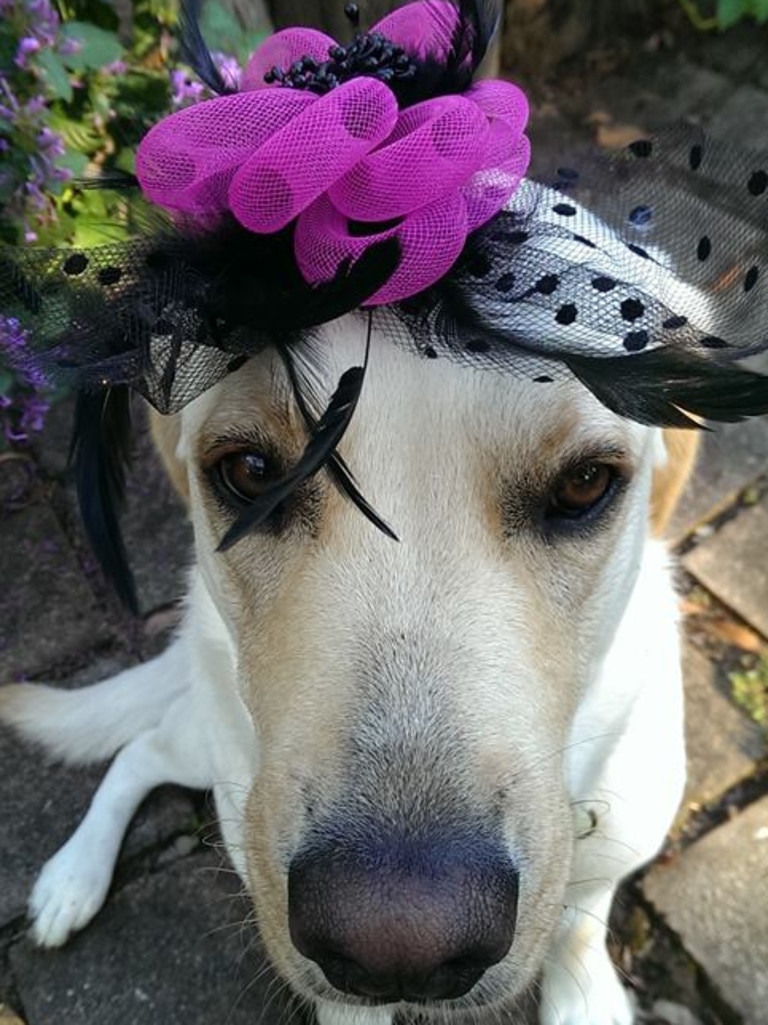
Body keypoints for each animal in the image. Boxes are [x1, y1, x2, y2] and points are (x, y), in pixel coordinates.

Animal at [0, 317, 693, 1025]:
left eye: (584, 481)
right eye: (252, 473)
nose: (400, 942)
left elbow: (580, 919)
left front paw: (585, 993)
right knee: (140, 751)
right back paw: (72, 879)